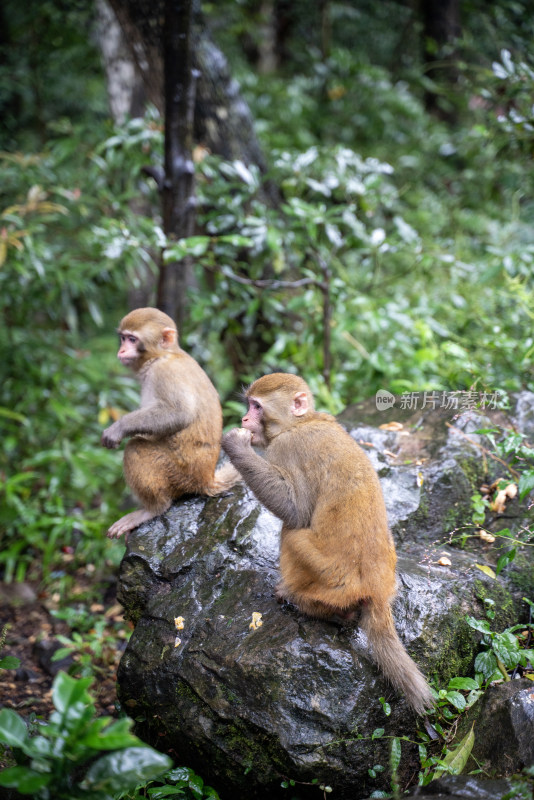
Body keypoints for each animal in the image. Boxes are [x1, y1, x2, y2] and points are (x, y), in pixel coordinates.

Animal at [100, 310, 241, 540]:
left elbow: (180, 412)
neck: (162, 355)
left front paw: (119, 427)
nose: (121, 349)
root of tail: (206, 478)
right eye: (123, 338)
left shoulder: (165, 372)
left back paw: (153, 508)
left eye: (132, 339)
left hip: (179, 473)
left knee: (135, 448)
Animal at [222, 372, 436, 716]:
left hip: (328, 576)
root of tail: (377, 591)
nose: (243, 419)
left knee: (292, 533)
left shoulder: (288, 447)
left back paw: (300, 599)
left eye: (256, 406)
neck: (302, 422)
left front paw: (234, 445)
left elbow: (295, 509)